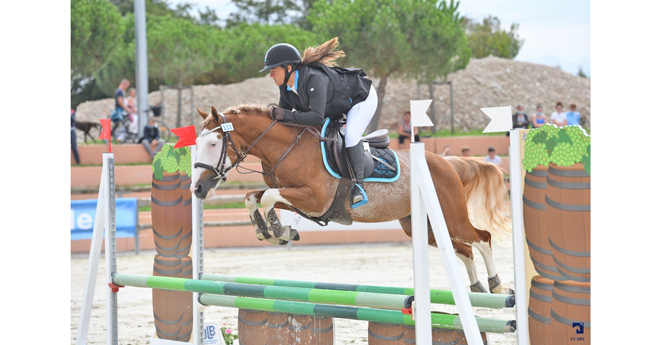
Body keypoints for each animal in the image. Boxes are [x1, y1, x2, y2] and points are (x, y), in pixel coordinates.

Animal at [191, 105, 516, 292]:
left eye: (214, 143)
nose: (198, 189)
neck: (288, 147)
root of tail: (448, 163)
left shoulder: (314, 198)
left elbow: (268, 197)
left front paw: (277, 230)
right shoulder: (302, 199)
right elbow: (253, 197)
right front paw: (270, 231)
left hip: (451, 217)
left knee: (482, 238)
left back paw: (497, 285)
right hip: (424, 227)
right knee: (464, 249)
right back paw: (476, 286)